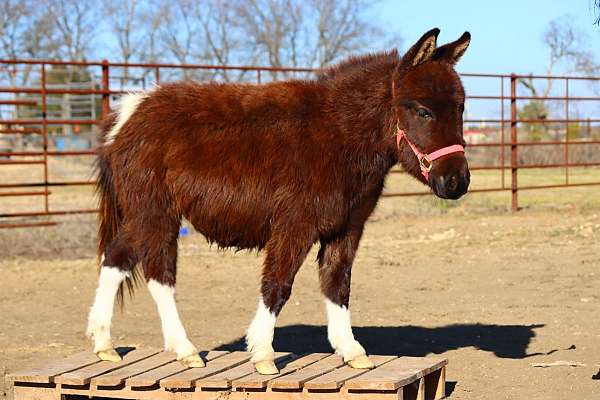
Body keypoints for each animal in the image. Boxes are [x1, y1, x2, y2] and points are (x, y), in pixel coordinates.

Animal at [86, 28, 472, 376]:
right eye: (423, 111)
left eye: (461, 108)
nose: (457, 182)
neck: (338, 135)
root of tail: (130, 111)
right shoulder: (294, 226)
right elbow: (278, 285)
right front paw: (263, 354)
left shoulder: (346, 227)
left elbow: (338, 285)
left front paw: (351, 351)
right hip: (156, 213)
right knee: (153, 273)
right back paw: (177, 349)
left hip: (144, 215)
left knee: (121, 260)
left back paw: (114, 345)